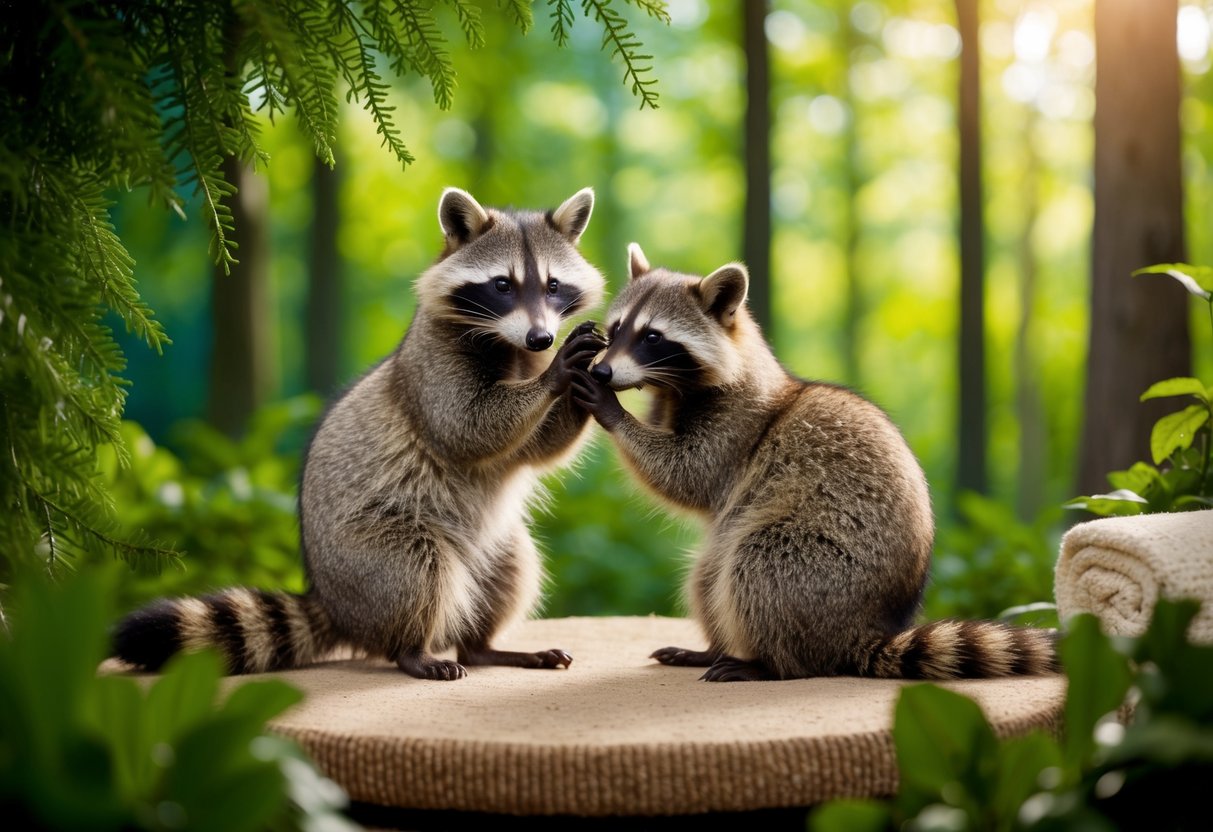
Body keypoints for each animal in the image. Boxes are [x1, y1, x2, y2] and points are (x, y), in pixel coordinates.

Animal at [114, 188, 607, 680]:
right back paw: (414, 649)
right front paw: (556, 375)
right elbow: (466, 426)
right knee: (417, 569)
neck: (510, 344)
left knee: (513, 566)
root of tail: (335, 605)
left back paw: (482, 646)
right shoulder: (432, 364)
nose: (542, 339)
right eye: (502, 285)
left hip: (492, 545)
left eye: (553, 285)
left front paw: (585, 386)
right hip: (368, 552)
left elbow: (538, 447)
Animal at [571, 243, 1058, 681]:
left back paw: (770, 663)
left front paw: (615, 412)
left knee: (757, 565)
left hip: (821, 568)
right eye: (617, 328)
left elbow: (687, 474)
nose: (603, 372)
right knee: (709, 576)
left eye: (652, 337)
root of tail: (862, 631)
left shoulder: (738, 427)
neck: (680, 389)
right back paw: (713, 648)